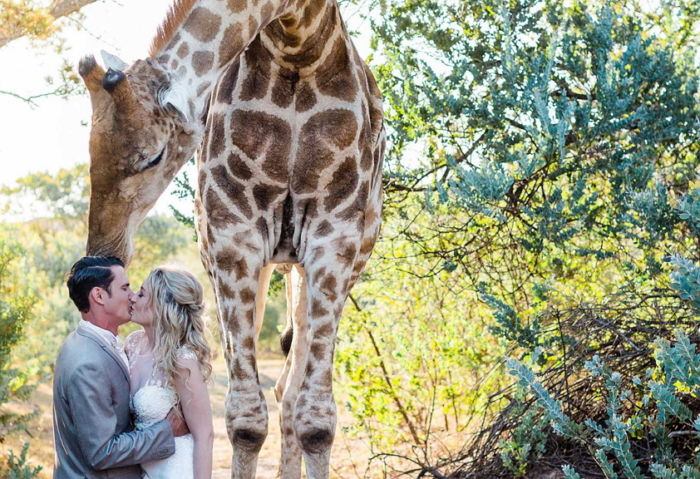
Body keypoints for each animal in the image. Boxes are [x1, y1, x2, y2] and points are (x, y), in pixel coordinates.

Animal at [78, 1, 386, 478]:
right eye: (89, 150)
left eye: (153, 156)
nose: (103, 251)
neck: (300, 41)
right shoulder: (231, 233)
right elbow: (245, 421)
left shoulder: (335, 235)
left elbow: (317, 422)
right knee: (280, 388)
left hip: (325, 260)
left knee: (292, 388)